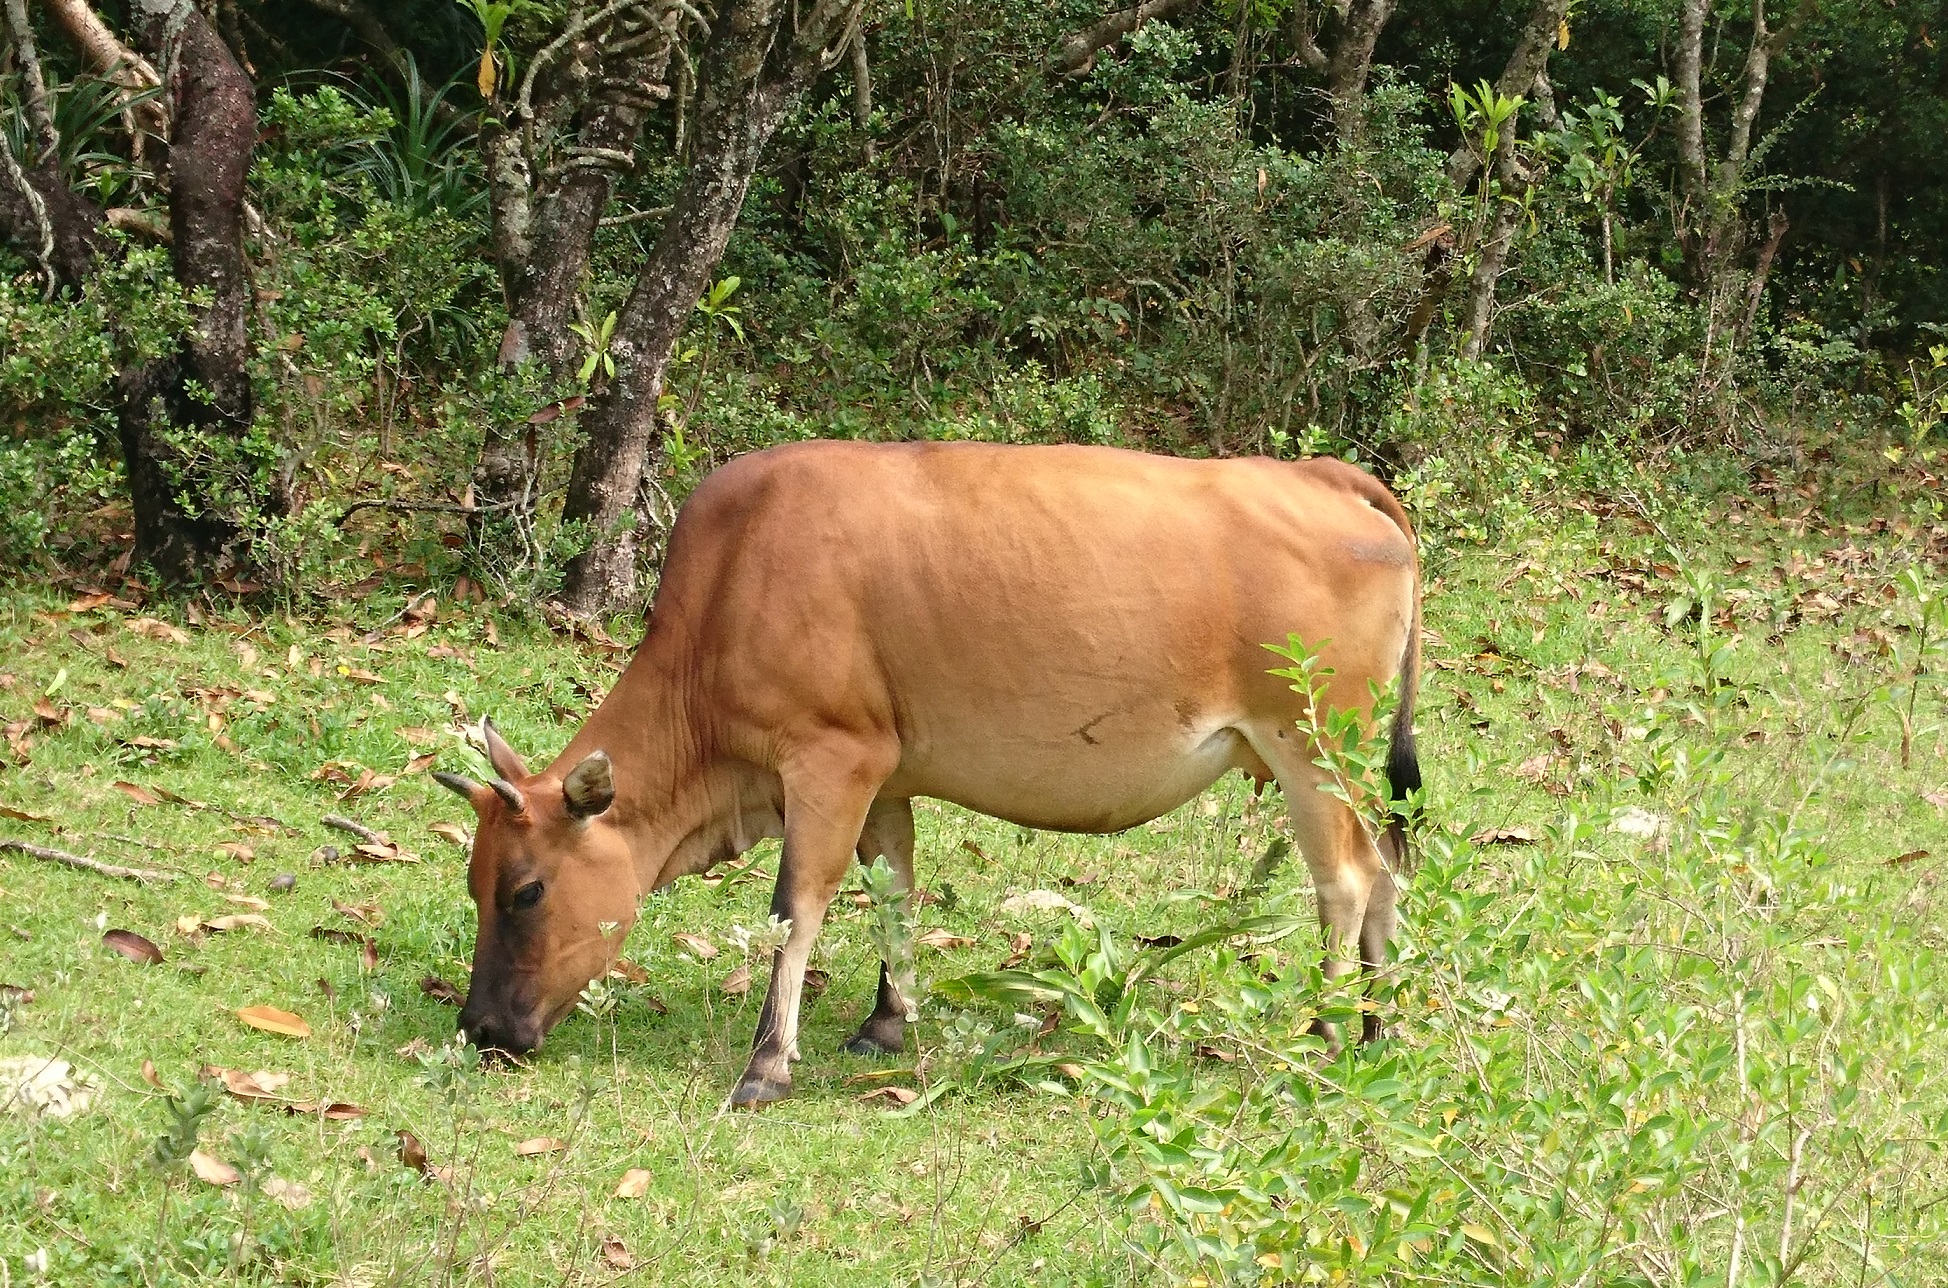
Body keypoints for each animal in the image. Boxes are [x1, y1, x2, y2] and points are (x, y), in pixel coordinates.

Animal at [434, 436, 1425, 1098]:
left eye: (526, 890)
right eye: (475, 884)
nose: (480, 1027)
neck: (729, 584)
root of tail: (1325, 474)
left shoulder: (830, 758)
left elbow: (797, 907)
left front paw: (768, 1062)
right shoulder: (886, 775)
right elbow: (894, 894)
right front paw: (886, 1021)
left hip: (1308, 744)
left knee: (1344, 880)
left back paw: (1325, 1027)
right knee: (1386, 871)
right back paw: (1377, 1026)